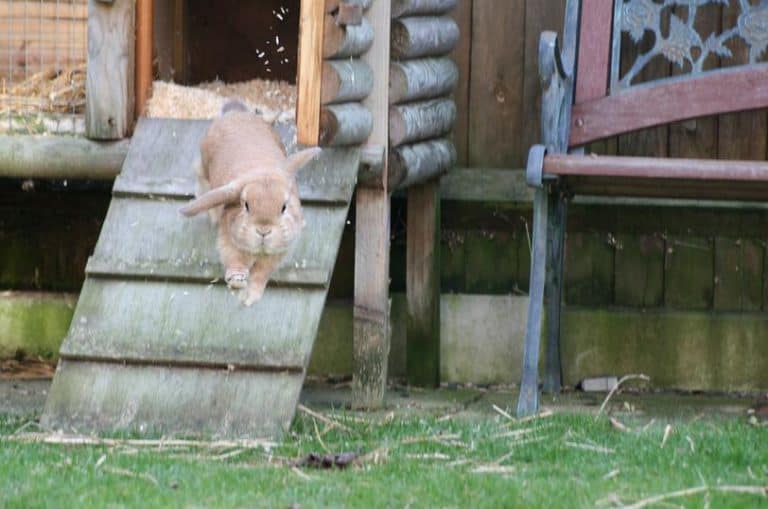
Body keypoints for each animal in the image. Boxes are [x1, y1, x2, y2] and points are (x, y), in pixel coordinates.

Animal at [179, 100, 321, 306]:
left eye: (284, 207)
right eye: (245, 205)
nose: (263, 231)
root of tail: (235, 113)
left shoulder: (276, 255)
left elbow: (261, 274)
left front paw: (250, 296)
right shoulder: (229, 243)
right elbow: (234, 260)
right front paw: (237, 281)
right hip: (203, 168)